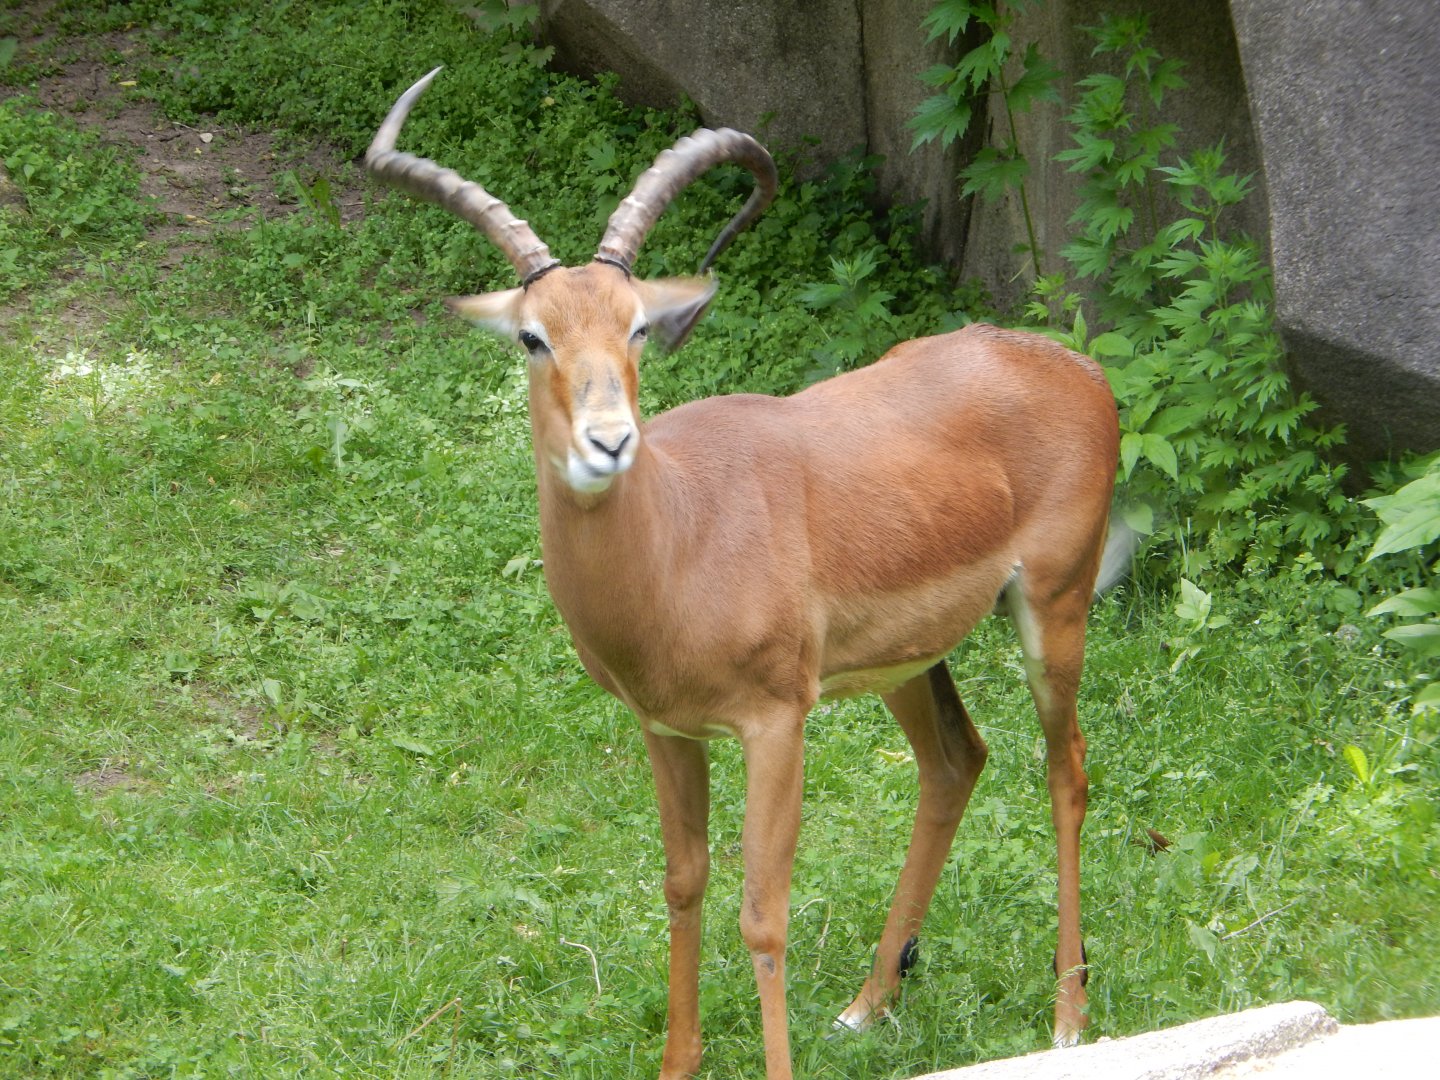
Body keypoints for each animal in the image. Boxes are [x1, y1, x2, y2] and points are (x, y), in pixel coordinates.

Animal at [367, 69, 1119, 1080]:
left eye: (637, 326)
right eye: (532, 336)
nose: (610, 441)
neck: (682, 541)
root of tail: (1078, 368)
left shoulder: (775, 725)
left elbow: (763, 916)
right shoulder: (665, 730)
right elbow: (683, 882)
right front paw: (677, 1062)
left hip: (1053, 609)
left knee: (1065, 768)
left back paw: (1069, 1017)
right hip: (910, 661)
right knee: (956, 762)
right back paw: (868, 1005)